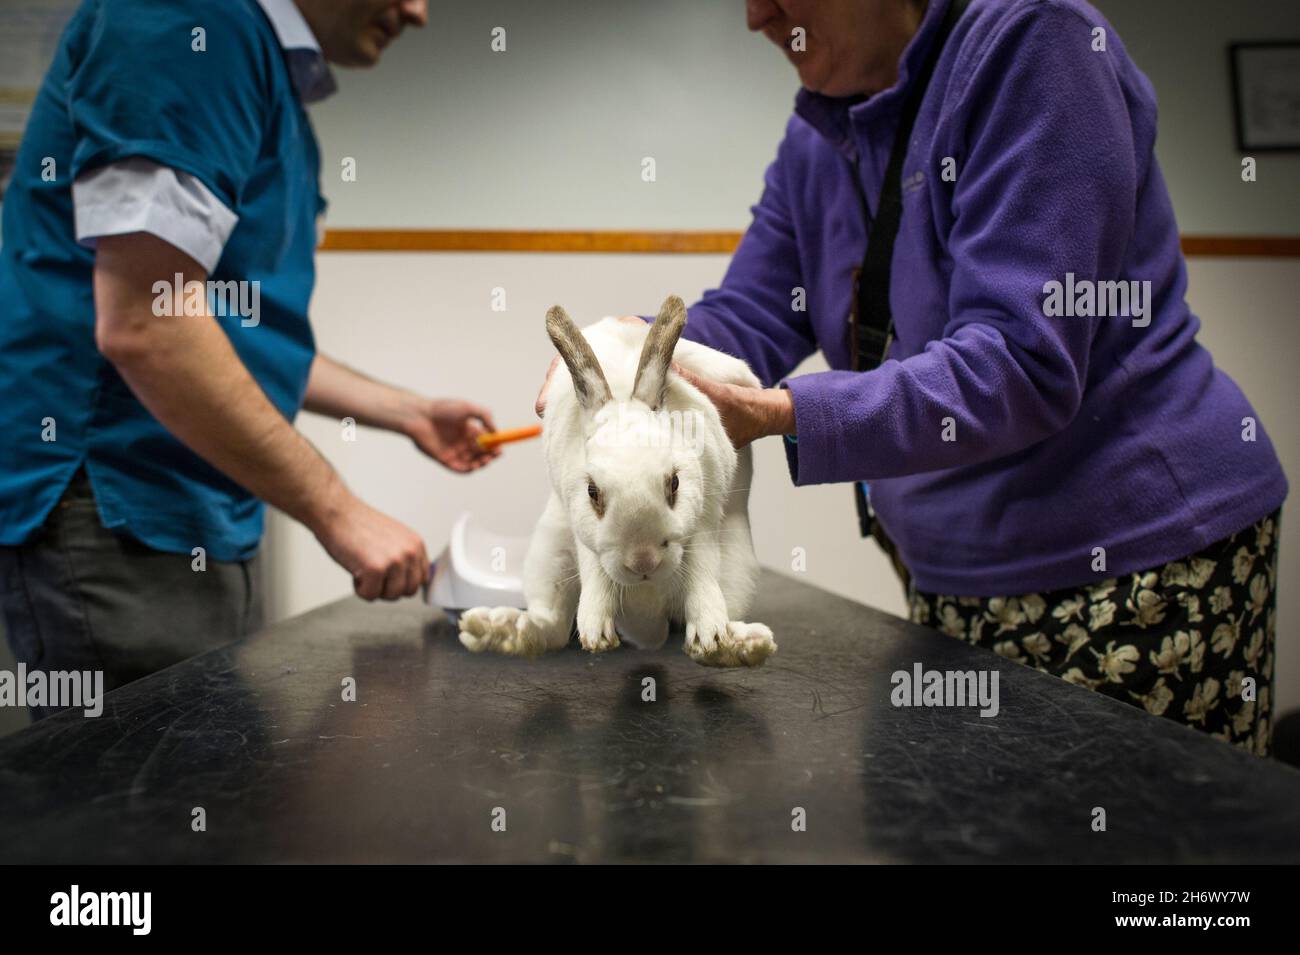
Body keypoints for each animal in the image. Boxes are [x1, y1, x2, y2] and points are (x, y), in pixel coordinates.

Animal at [458, 295, 776, 668]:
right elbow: (593, 567)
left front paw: (709, 634)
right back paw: (492, 629)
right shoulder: (580, 525)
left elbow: (701, 567)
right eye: (592, 492)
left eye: (674, 484)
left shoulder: (705, 516)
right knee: (549, 626)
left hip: (739, 567)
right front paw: (595, 631)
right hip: (547, 553)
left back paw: (740, 645)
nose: (643, 563)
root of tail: (650, 622)